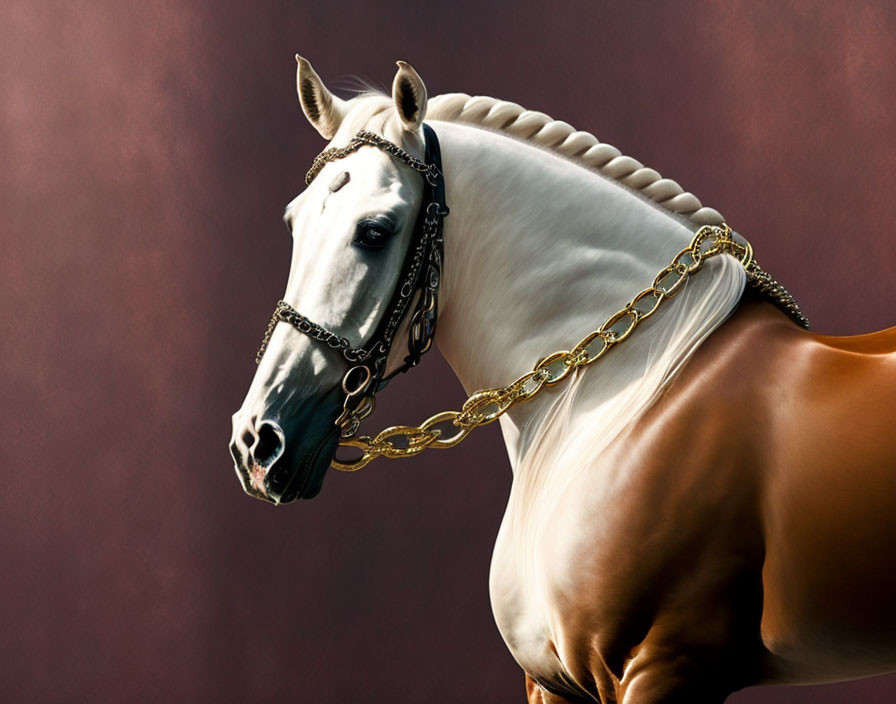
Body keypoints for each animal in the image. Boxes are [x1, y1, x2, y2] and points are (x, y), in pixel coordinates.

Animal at [229, 57, 896, 700]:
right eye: (293, 223)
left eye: (374, 231)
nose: (258, 443)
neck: (624, 399)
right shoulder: (551, 680)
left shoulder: (665, 667)